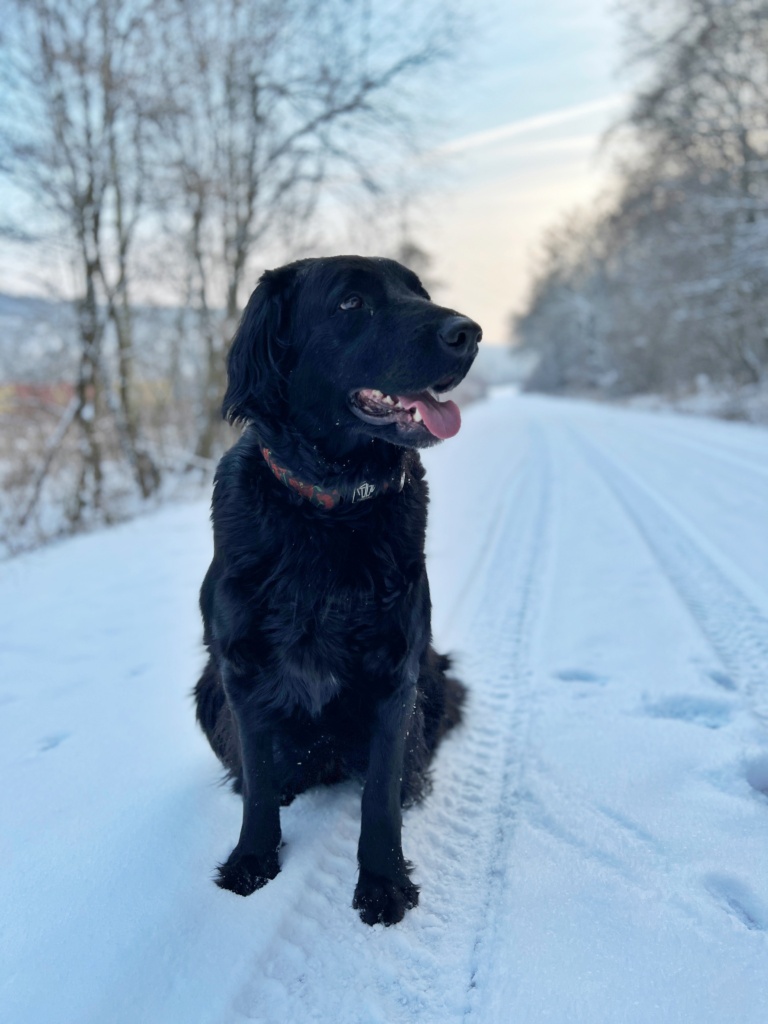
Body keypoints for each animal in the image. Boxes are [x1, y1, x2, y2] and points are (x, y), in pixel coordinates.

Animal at [192, 251, 481, 925]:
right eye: (351, 303)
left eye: (417, 291)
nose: (470, 333)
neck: (329, 511)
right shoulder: (241, 672)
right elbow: (258, 786)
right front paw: (252, 861)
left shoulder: (397, 675)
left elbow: (379, 796)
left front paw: (383, 882)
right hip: (205, 690)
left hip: (434, 680)